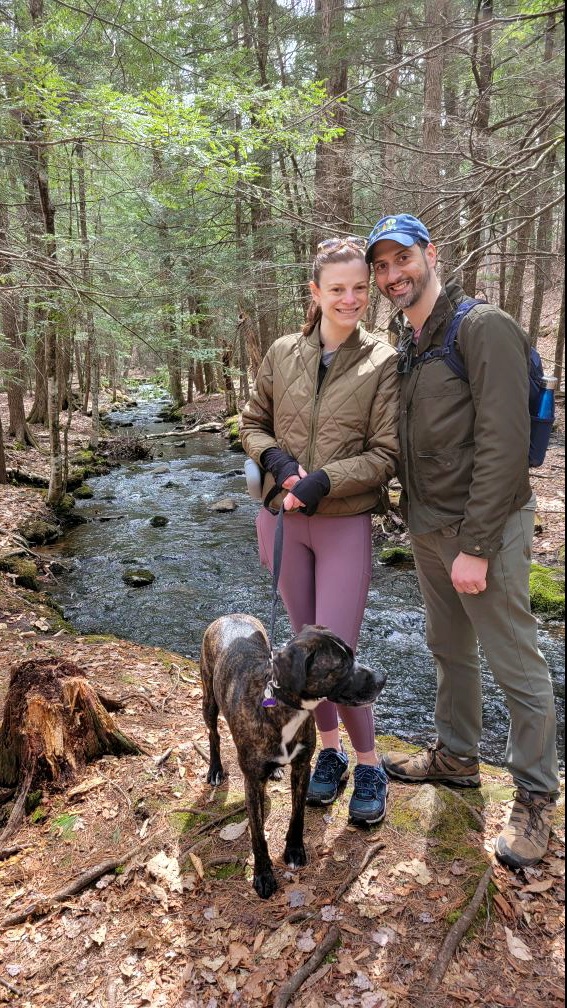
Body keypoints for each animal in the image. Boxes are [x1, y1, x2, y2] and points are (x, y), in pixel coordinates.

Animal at [198, 608, 383, 903]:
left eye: (353, 655)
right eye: (340, 666)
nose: (382, 679)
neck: (284, 705)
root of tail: (231, 615)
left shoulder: (302, 767)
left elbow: (297, 815)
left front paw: (295, 851)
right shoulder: (251, 782)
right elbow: (258, 836)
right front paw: (263, 875)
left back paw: (274, 770)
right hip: (209, 699)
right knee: (213, 734)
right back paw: (215, 769)